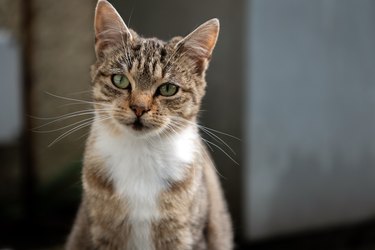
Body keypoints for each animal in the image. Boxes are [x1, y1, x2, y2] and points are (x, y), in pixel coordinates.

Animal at [66, 0, 234, 249]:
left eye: (168, 89)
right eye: (120, 80)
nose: (139, 107)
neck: (141, 153)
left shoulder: (185, 233)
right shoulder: (101, 233)